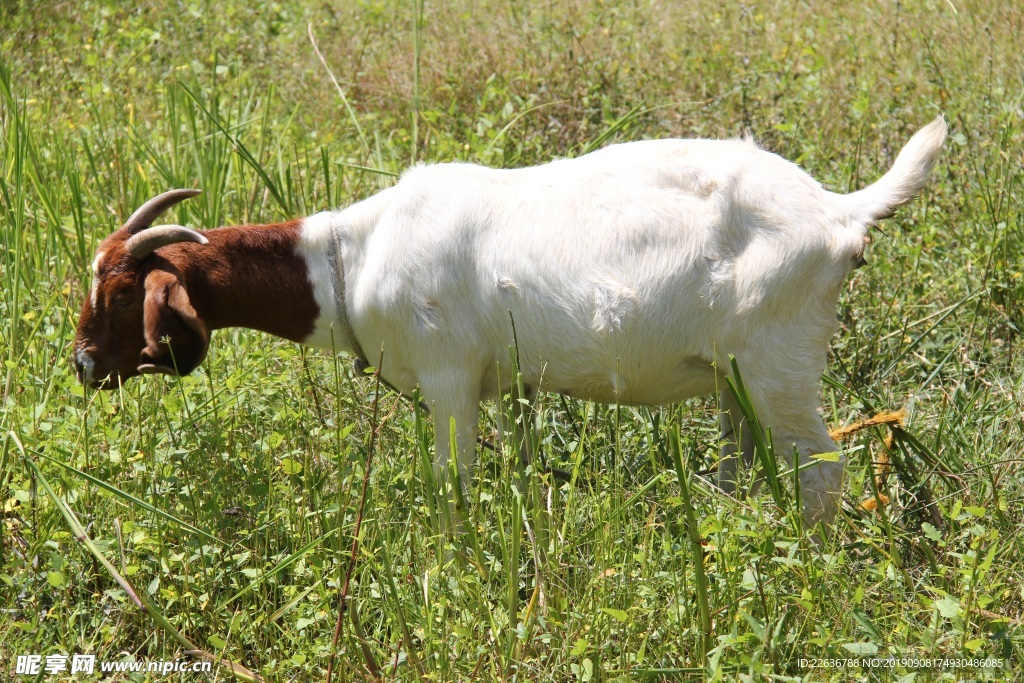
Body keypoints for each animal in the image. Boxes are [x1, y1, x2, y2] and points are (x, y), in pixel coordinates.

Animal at [75, 117, 946, 532]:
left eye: (120, 290)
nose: (83, 364)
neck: (352, 254)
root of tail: (838, 210)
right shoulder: (516, 386)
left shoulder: (448, 378)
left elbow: (452, 486)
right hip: (736, 378)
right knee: (743, 466)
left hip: (779, 364)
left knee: (822, 477)